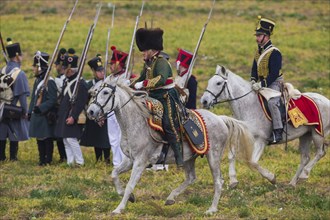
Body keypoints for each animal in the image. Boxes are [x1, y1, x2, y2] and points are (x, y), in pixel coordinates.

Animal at [86, 79, 254, 215]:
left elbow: (130, 185)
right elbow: (114, 174)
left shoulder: (140, 162)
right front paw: (129, 198)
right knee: (191, 178)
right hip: (188, 158)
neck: (136, 122)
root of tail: (220, 119)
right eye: (94, 92)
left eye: (105, 92)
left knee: (218, 181)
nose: (91, 111)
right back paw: (171, 198)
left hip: (213, 156)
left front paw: (119, 208)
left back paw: (211, 209)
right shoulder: (129, 160)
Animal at [200, 65, 328, 187]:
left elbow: (253, 162)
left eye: (218, 83)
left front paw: (272, 178)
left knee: (320, 153)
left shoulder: (261, 141)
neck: (249, 106)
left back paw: (304, 175)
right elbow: (231, 156)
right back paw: (293, 183)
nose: (204, 101)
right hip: (306, 135)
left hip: (317, 134)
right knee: (305, 157)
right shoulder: (241, 136)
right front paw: (233, 181)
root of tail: (327, 101)